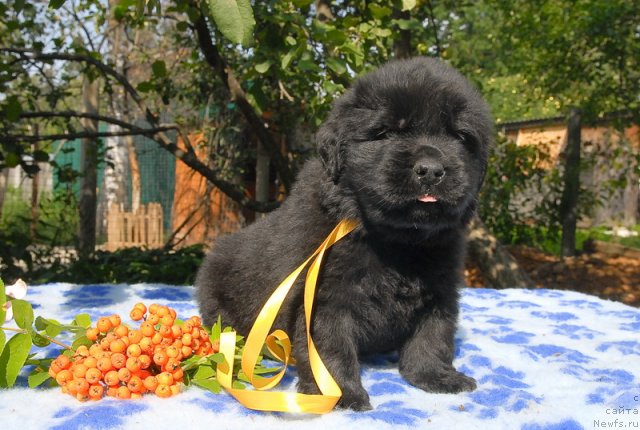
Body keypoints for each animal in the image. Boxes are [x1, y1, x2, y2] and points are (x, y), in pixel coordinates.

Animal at [198, 56, 492, 410]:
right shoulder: (325, 297)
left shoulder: (441, 290)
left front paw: (436, 377)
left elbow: (433, 337)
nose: (431, 170)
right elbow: (331, 347)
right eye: (386, 132)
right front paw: (340, 394)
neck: (397, 241)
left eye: (460, 136)